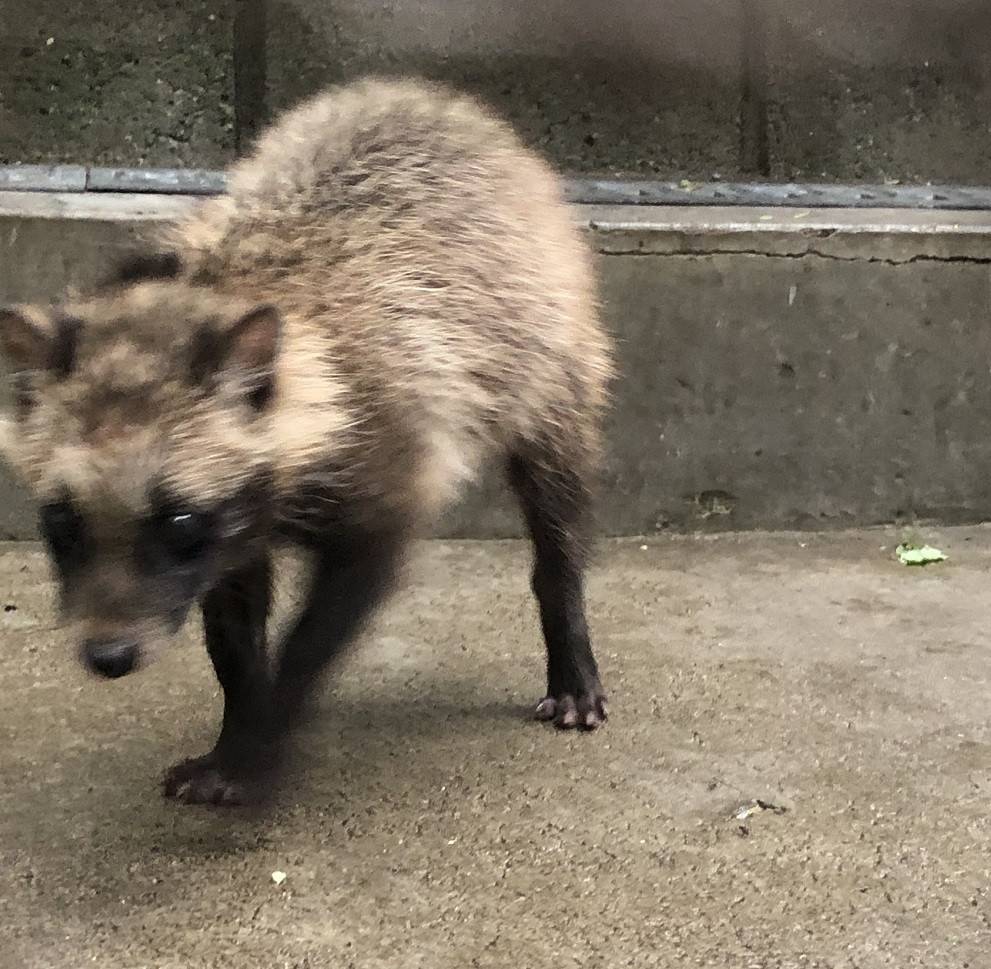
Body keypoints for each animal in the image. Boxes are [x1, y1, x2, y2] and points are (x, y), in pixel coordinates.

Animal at [0, 79, 616, 804]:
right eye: (61, 521)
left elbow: (330, 615)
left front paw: (266, 732)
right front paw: (238, 720)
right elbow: (232, 629)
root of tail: (432, 99)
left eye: (178, 520)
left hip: (551, 345)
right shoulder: (237, 524)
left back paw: (566, 625)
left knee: (556, 503)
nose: (108, 656)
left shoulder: (387, 439)